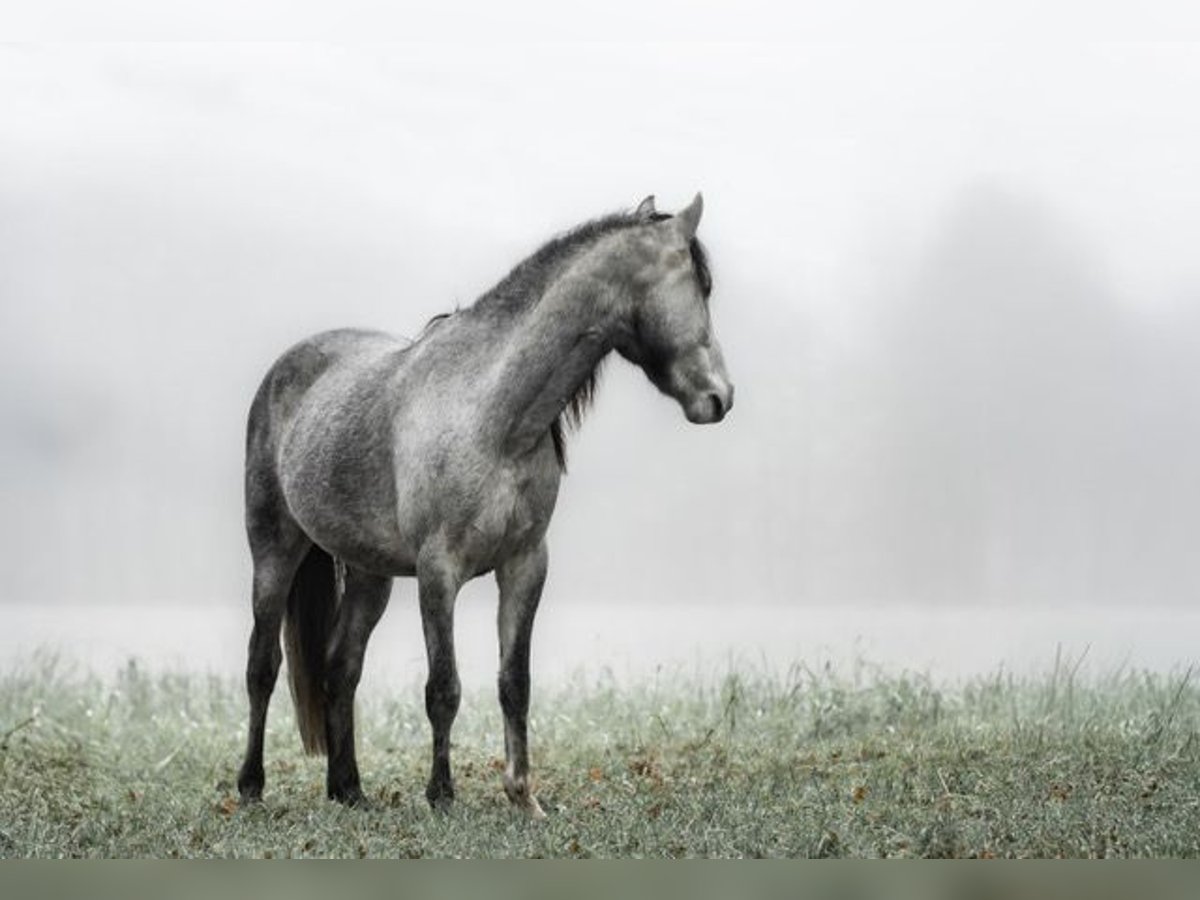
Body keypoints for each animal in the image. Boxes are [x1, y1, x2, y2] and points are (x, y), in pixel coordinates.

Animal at [236, 192, 729, 816]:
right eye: (702, 285)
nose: (720, 397)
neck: (496, 417)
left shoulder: (525, 565)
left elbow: (514, 683)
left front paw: (523, 797)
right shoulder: (437, 572)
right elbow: (443, 688)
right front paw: (442, 796)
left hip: (371, 576)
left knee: (341, 669)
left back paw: (348, 789)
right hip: (275, 552)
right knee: (262, 666)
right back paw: (250, 786)